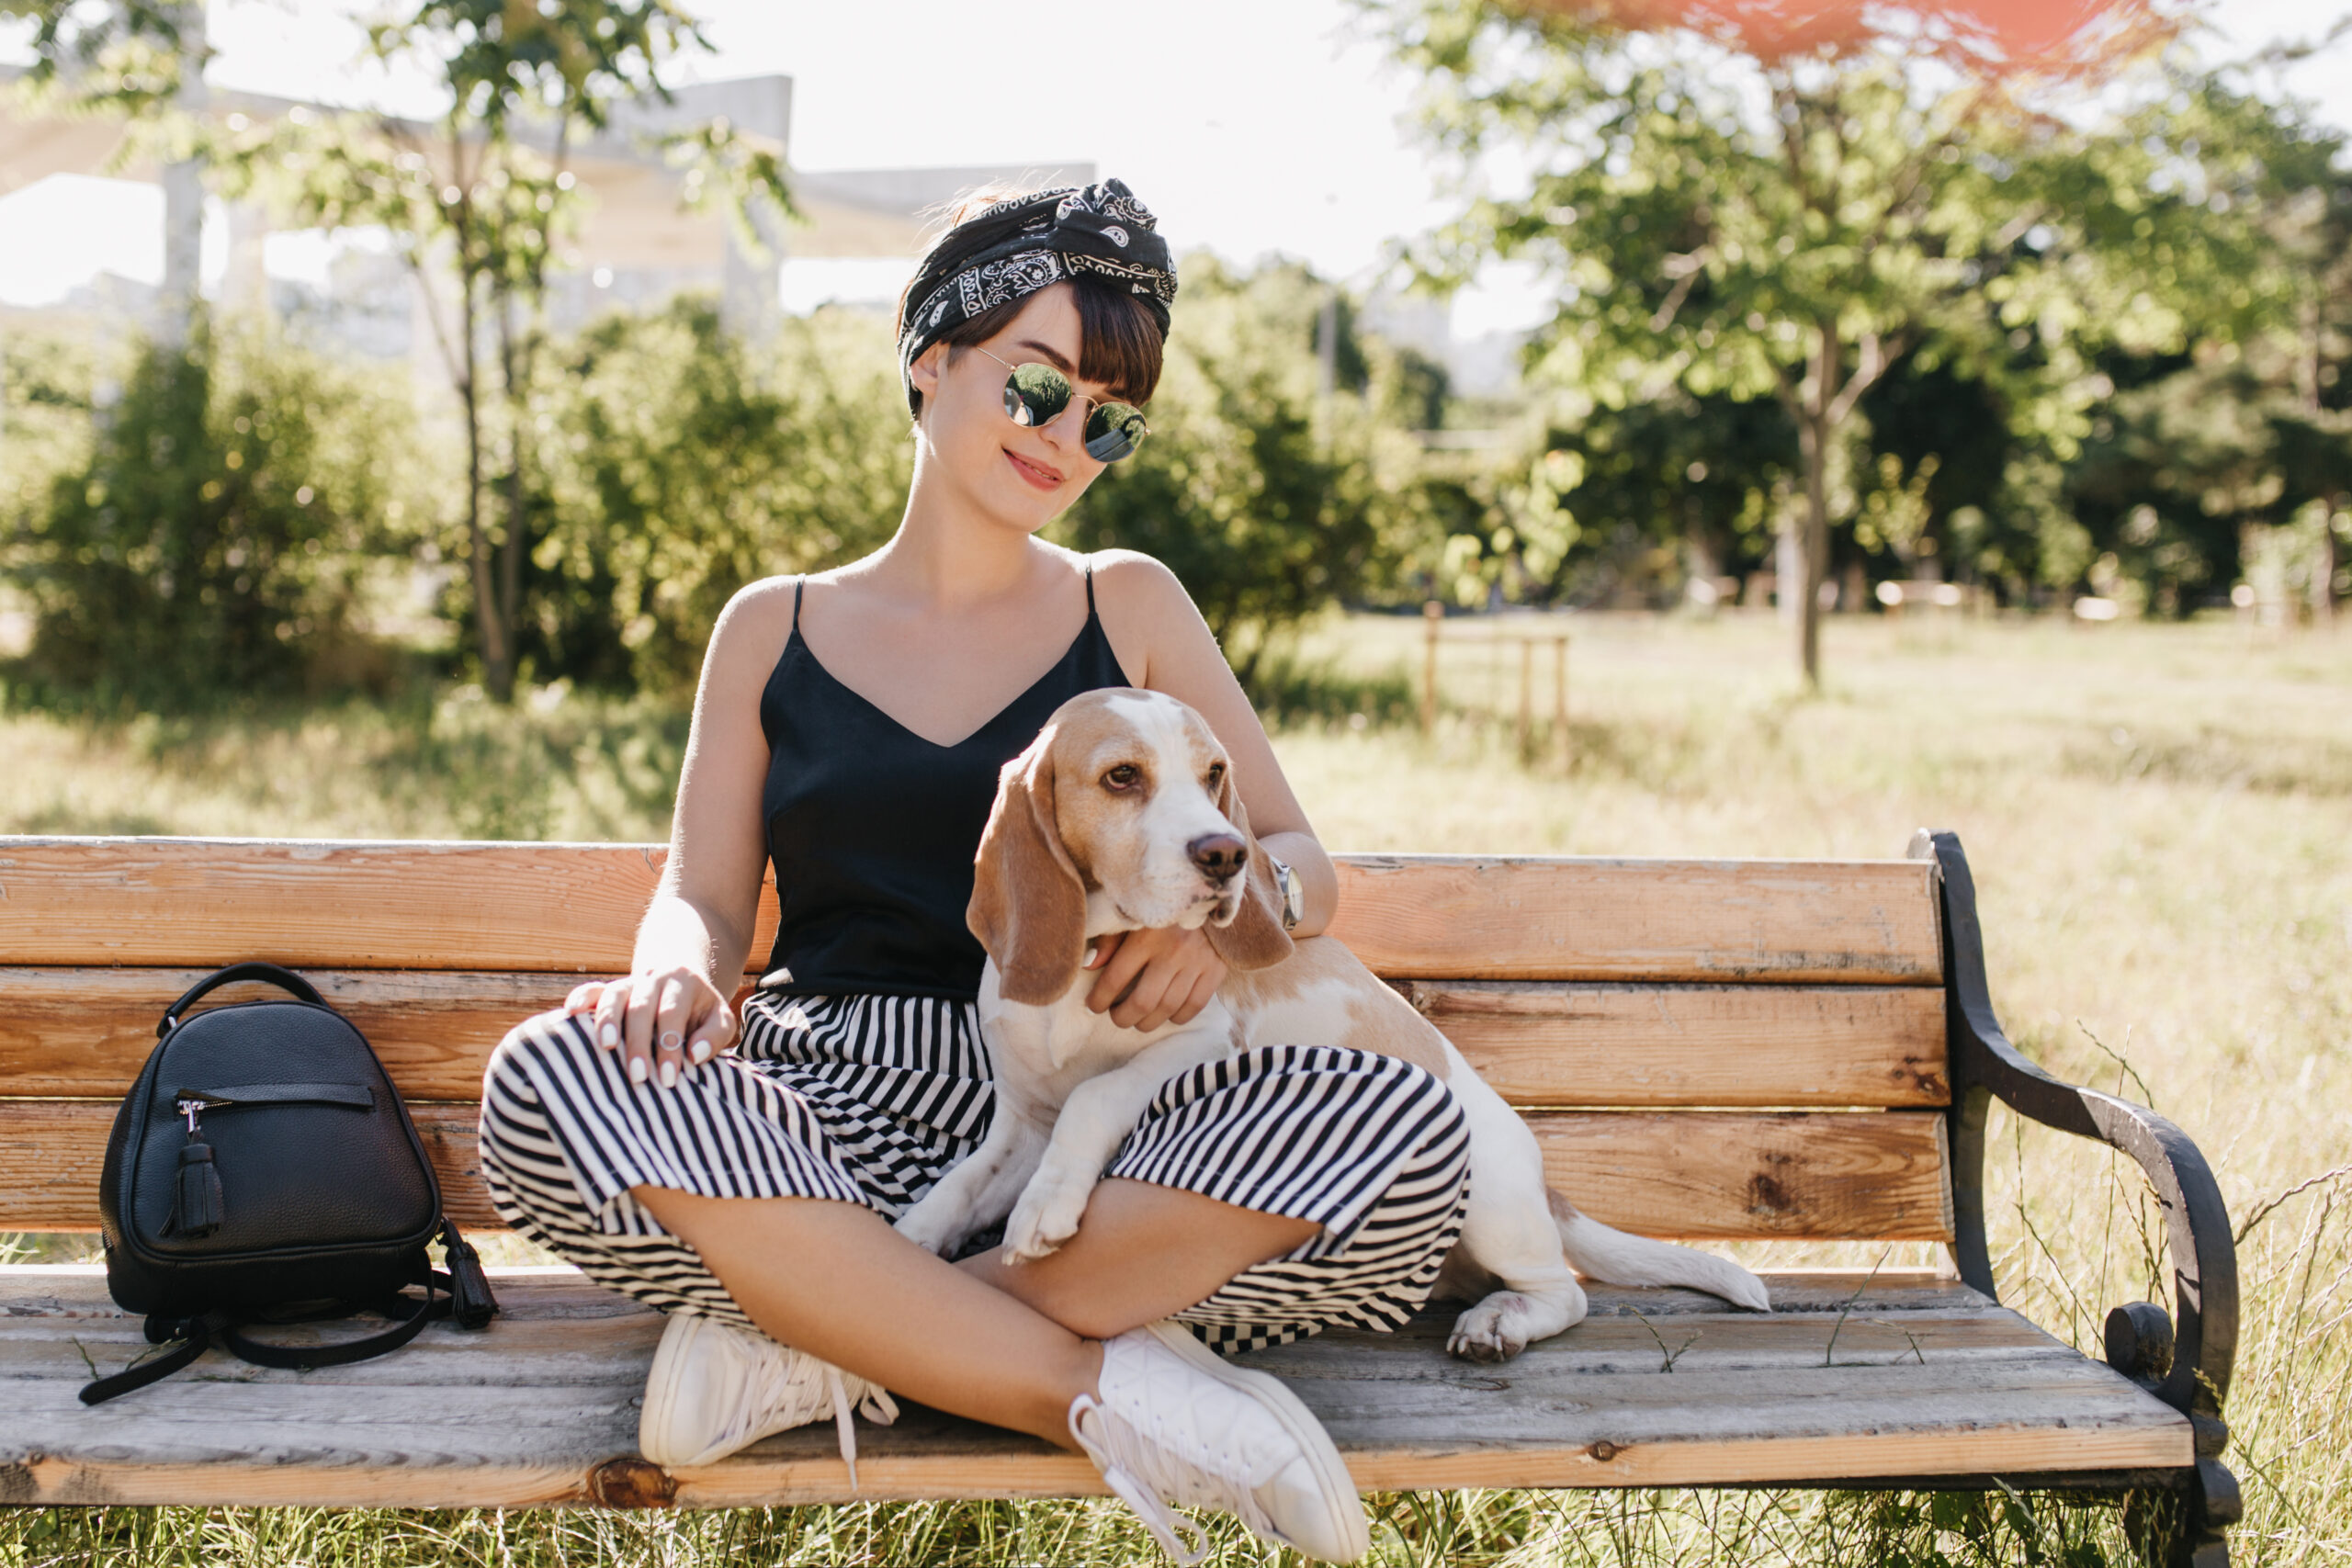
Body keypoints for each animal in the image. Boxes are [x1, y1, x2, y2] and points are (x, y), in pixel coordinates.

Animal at [888, 686, 1769, 1363]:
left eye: (1214, 773)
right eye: (1122, 776)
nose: (1226, 854)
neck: (1086, 963)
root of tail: (1548, 1186)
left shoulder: (1194, 1047)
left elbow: (1094, 1097)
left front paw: (1045, 1205)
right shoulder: (1021, 1120)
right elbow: (963, 1179)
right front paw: (915, 1234)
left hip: (1486, 1191)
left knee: (1563, 1293)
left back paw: (1500, 1323)